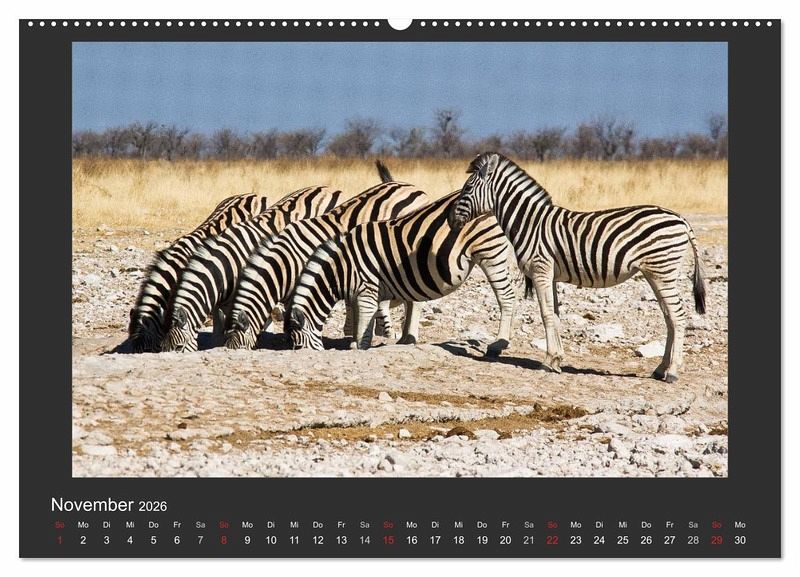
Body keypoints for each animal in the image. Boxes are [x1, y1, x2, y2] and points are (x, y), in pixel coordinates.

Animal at [224, 171, 429, 350]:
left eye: (236, 344)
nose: (227, 348)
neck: (287, 263)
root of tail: (412, 187)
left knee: (415, 301)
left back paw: (408, 338)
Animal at [288, 189, 516, 355]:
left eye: (297, 347)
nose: (298, 352)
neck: (342, 269)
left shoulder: (367, 288)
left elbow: (364, 325)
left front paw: (360, 348)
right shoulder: (361, 294)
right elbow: (362, 323)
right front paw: (356, 343)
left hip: (491, 253)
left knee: (506, 296)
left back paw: (498, 344)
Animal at [447, 152, 706, 383]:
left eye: (467, 189)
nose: (450, 221)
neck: (529, 223)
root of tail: (681, 219)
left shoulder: (541, 270)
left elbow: (545, 314)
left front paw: (547, 361)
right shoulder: (550, 275)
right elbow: (555, 315)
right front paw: (556, 360)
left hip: (663, 270)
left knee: (678, 316)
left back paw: (672, 372)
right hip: (656, 273)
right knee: (669, 317)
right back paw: (660, 369)